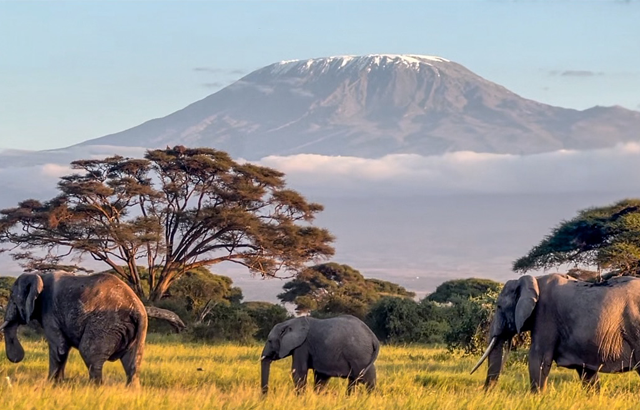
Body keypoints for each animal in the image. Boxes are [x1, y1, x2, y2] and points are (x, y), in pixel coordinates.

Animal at [0, 274, 148, 386]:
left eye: (12, 297)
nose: (17, 358)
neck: (38, 275)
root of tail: (137, 309)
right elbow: (62, 349)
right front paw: (58, 384)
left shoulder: (50, 312)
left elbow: (59, 347)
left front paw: (50, 385)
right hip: (135, 330)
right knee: (132, 363)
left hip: (106, 323)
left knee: (89, 354)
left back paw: (94, 389)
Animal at [470, 274, 640, 392]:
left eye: (499, 307)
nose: (486, 393)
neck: (533, 279)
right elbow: (586, 371)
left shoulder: (545, 315)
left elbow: (538, 359)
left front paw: (536, 399)